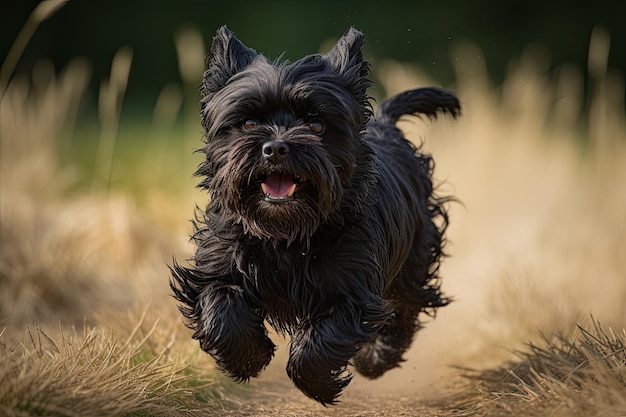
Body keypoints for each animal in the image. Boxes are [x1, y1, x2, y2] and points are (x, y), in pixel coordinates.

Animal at [169, 26, 458, 404]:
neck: (285, 234)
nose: (276, 148)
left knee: (405, 309)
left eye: (317, 125)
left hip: (414, 259)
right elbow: (220, 305)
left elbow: (323, 338)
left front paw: (317, 382)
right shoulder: (218, 263)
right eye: (248, 122)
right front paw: (248, 358)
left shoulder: (352, 283)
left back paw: (377, 357)